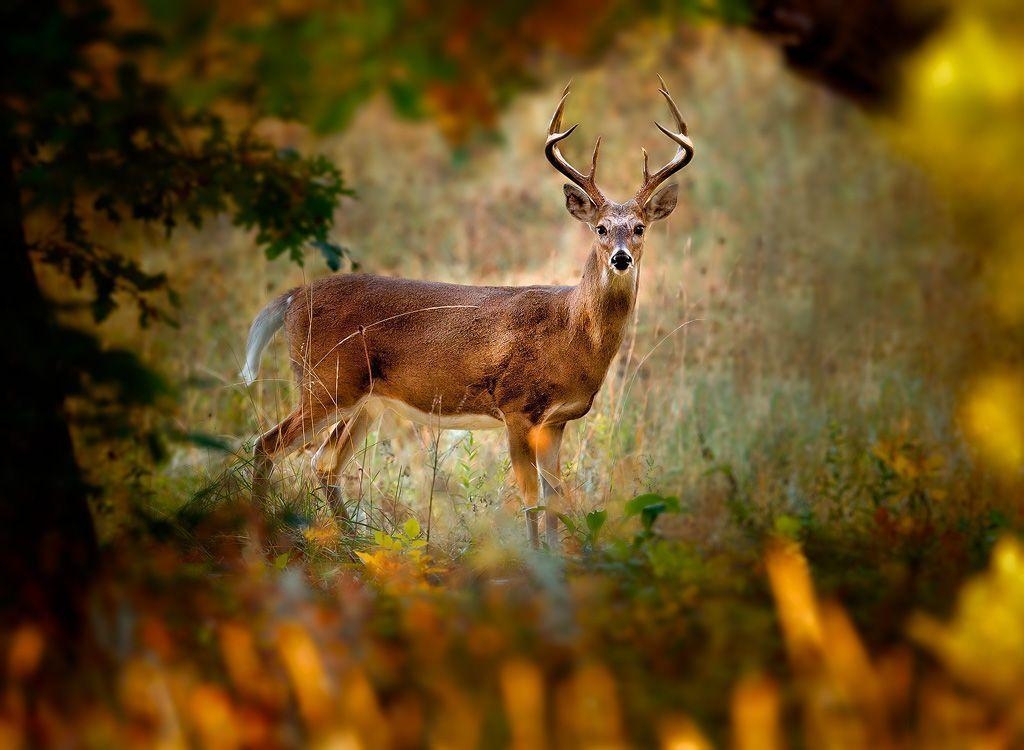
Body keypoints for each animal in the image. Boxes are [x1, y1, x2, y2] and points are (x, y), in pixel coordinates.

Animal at [241, 77, 696, 545]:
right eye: (601, 228)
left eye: (639, 228)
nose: (621, 258)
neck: (571, 332)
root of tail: (293, 297)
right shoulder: (516, 406)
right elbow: (531, 500)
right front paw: (536, 558)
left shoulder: (558, 420)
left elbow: (556, 500)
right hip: (326, 382)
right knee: (267, 444)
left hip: (364, 400)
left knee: (324, 462)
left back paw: (351, 543)